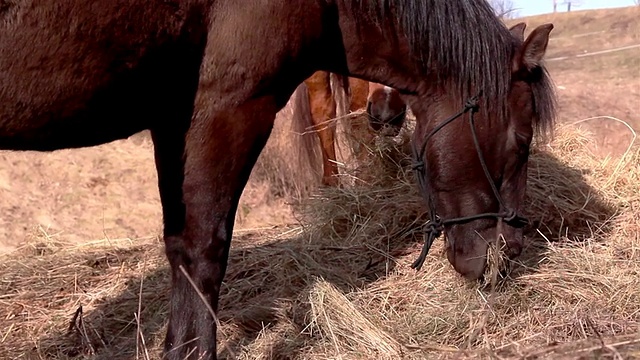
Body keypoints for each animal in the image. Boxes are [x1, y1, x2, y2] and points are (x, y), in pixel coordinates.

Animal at [0, 1, 556, 358]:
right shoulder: (226, 108)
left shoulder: (174, 120)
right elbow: (203, 253)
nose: (509, 253)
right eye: (521, 141)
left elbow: (180, 248)